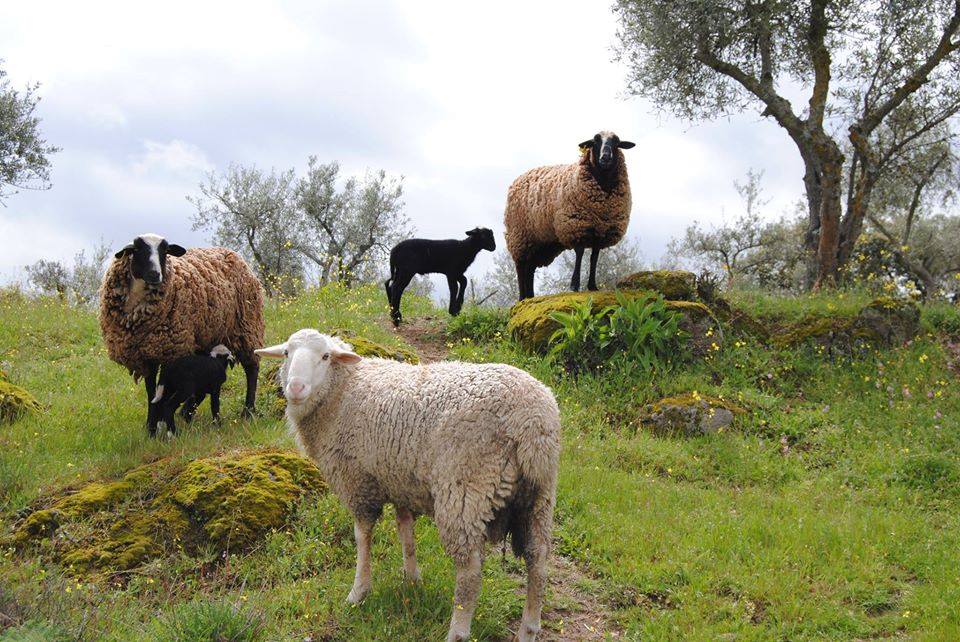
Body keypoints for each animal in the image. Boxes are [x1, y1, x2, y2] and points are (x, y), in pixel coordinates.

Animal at [258, 330, 564, 640]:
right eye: (286, 353)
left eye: (325, 356)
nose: (296, 387)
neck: (343, 390)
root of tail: (532, 423)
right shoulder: (399, 480)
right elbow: (405, 530)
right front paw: (411, 578)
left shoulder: (357, 481)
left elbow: (362, 536)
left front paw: (359, 591)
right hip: (541, 495)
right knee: (538, 561)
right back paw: (529, 628)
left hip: (466, 489)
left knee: (469, 572)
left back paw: (457, 631)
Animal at [502, 132, 636, 300]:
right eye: (595, 141)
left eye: (617, 143)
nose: (605, 157)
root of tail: (517, 180)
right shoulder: (576, 225)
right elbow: (579, 253)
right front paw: (574, 286)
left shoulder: (600, 231)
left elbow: (594, 257)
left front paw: (592, 286)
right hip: (519, 235)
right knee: (521, 266)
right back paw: (522, 298)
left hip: (541, 241)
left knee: (530, 267)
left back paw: (531, 296)